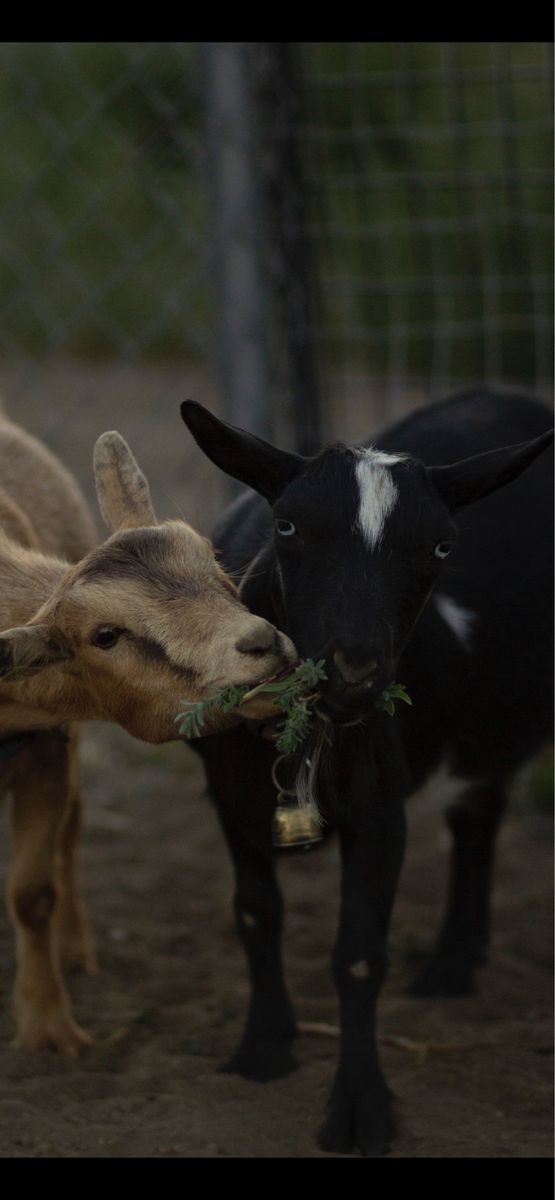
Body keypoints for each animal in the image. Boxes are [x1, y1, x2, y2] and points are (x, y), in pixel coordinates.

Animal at [0, 409, 294, 1057]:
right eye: (105, 635)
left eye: (211, 554)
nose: (262, 643)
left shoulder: (47, 748)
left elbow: (33, 893)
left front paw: (49, 1030)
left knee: (74, 827)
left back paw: (75, 951)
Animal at [180, 386, 553, 1157]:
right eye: (286, 525)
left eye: (441, 545)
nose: (354, 667)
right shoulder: (228, 794)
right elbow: (255, 913)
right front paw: (263, 1049)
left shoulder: (381, 806)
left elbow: (357, 954)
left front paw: (359, 1110)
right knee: (479, 811)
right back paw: (452, 965)